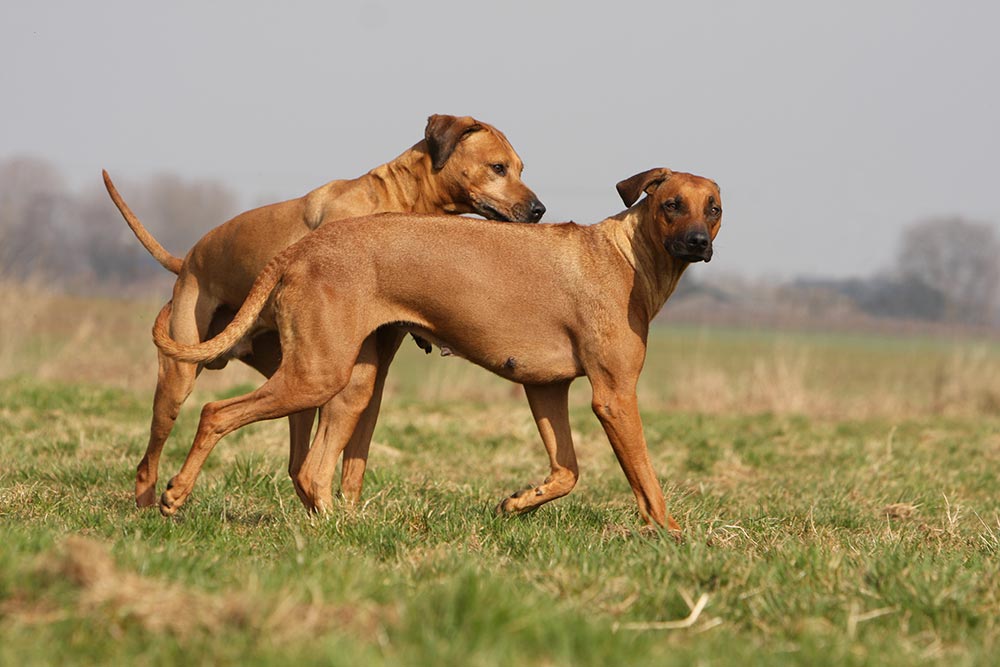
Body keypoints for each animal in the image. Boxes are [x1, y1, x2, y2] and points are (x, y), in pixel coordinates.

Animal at [102, 116, 548, 512]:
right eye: (498, 167)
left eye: (521, 168)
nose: (539, 210)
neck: (399, 200)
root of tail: (187, 259)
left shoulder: (372, 371)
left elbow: (356, 458)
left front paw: (351, 513)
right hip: (182, 377)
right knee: (156, 451)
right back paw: (154, 501)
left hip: (299, 375)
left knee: (296, 459)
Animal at [152, 168, 724, 532]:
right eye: (671, 205)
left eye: (714, 208)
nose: (699, 242)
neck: (629, 257)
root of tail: (301, 249)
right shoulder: (615, 396)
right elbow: (645, 476)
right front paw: (670, 533)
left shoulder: (545, 387)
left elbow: (567, 471)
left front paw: (519, 502)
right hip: (314, 375)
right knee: (215, 412)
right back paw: (174, 494)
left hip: (352, 383)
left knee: (312, 468)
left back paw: (338, 529)